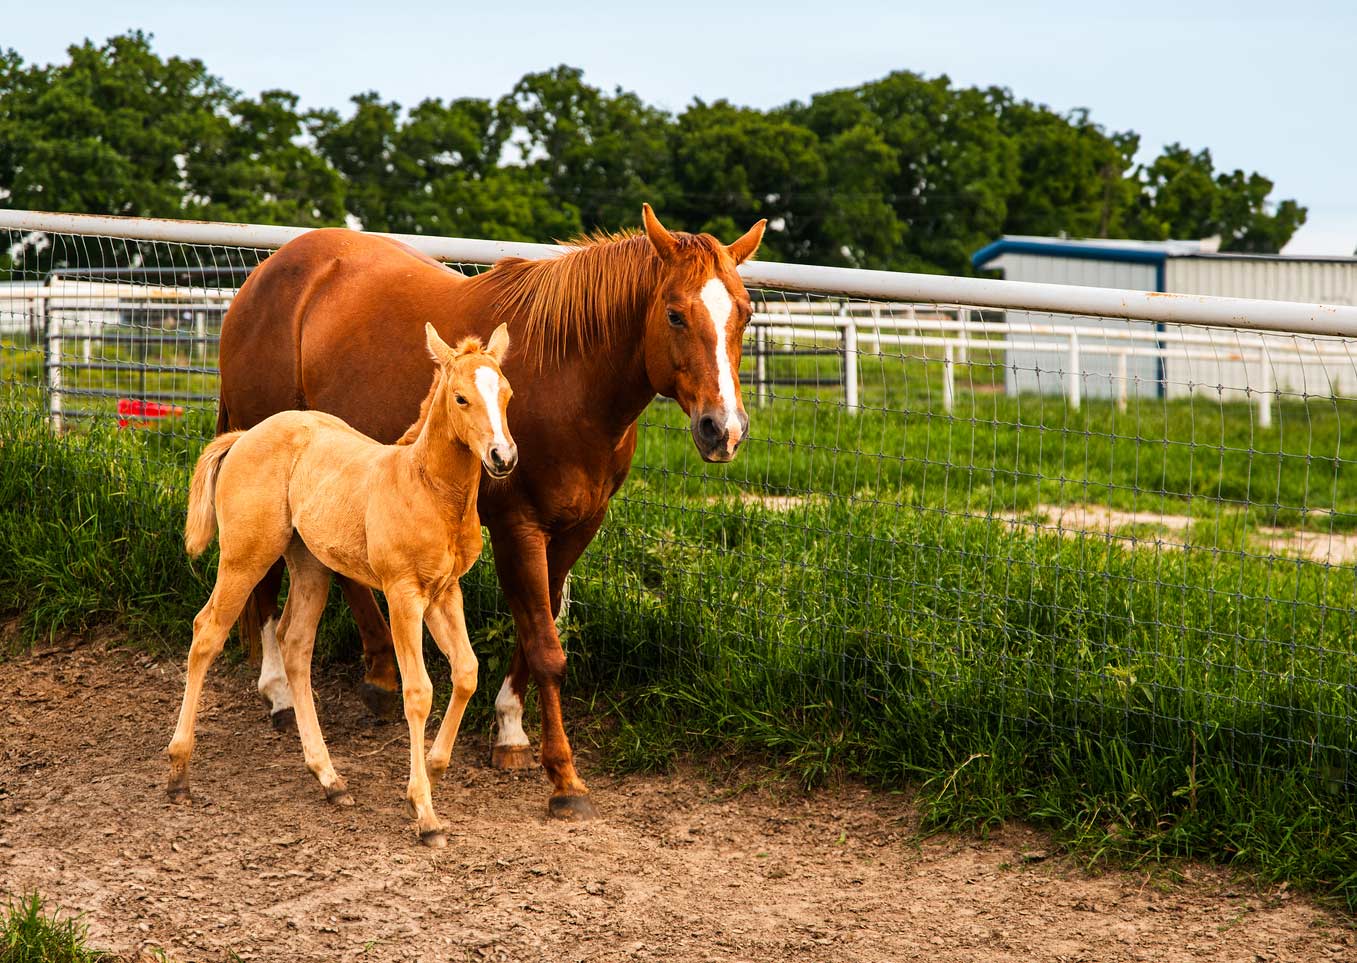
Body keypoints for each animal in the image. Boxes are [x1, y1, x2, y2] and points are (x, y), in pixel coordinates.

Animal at [165, 322, 512, 846]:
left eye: (507, 394)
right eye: (461, 398)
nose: (502, 457)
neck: (428, 489)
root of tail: (244, 436)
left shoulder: (444, 592)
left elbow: (467, 671)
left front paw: (436, 764)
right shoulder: (402, 594)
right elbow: (418, 692)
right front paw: (424, 812)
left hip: (310, 565)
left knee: (294, 644)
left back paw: (330, 779)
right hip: (246, 556)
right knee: (207, 632)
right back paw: (179, 773)